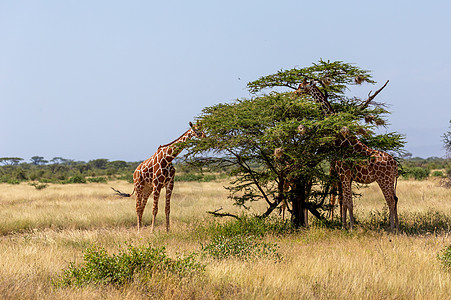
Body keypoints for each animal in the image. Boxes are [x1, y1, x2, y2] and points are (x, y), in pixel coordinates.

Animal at [296, 78, 400, 231]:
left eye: (302, 87)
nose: (295, 93)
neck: (341, 141)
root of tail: (395, 164)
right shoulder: (345, 176)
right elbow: (344, 201)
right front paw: (344, 226)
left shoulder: (344, 174)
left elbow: (349, 202)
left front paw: (351, 227)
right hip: (390, 179)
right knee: (395, 199)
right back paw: (397, 226)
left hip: (383, 179)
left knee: (390, 200)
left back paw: (391, 228)